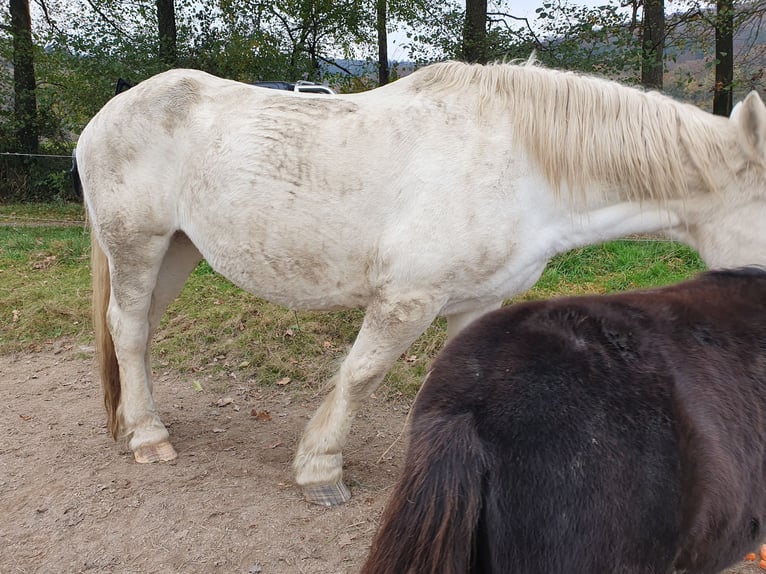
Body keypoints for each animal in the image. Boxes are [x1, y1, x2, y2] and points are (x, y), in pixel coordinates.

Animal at [75, 60, 766, 506]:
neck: (523, 165)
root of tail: (108, 113)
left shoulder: (477, 303)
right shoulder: (406, 300)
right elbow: (359, 377)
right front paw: (320, 471)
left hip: (177, 251)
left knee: (138, 333)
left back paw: (138, 421)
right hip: (138, 246)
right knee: (128, 332)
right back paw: (150, 439)